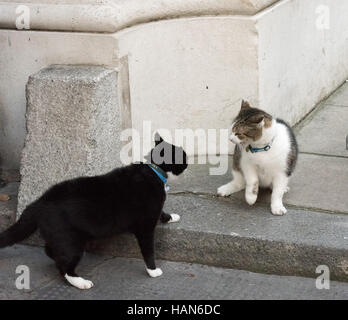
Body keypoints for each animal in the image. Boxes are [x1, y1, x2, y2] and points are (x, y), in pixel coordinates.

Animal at [0, 132, 188, 290]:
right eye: (183, 156)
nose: (187, 163)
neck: (155, 171)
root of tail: (39, 201)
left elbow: (162, 212)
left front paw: (172, 216)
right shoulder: (145, 227)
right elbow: (148, 250)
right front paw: (153, 270)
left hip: (58, 236)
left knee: (51, 251)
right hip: (70, 241)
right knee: (64, 266)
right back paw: (80, 282)